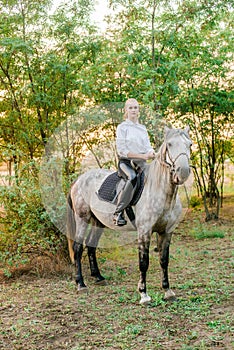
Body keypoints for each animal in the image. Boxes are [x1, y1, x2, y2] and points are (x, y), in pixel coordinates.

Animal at [66, 126, 192, 304]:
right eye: (170, 144)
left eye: (190, 144)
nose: (183, 172)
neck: (160, 191)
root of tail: (78, 180)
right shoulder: (144, 231)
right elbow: (144, 262)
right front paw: (144, 294)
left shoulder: (166, 231)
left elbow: (164, 260)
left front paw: (168, 291)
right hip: (82, 218)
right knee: (77, 248)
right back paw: (81, 284)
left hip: (98, 222)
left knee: (91, 246)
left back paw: (98, 277)